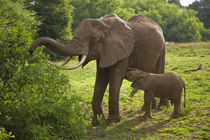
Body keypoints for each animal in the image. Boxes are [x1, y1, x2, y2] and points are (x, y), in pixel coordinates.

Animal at [28, 13, 168, 125]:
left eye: (93, 38)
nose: (30, 51)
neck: (104, 24)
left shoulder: (124, 50)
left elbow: (115, 79)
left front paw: (113, 121)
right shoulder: (106, 51)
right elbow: (100, 80)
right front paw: (97, 122)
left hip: (162, 48)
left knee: (160, 72)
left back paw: (162, 107)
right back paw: (146, 109)